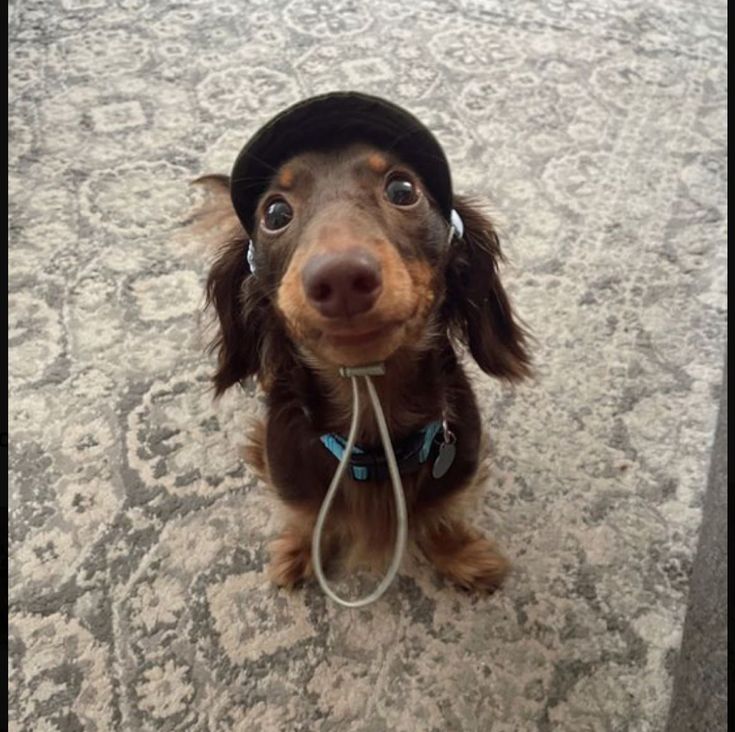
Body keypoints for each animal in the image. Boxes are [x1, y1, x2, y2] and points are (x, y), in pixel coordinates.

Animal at [193, 91, 532, 596]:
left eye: (403, 190)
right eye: (275, 214)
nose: (340, 279)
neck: (371, 437)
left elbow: (441, 517)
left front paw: (462, 555)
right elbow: (305, 518)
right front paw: (297, 553)